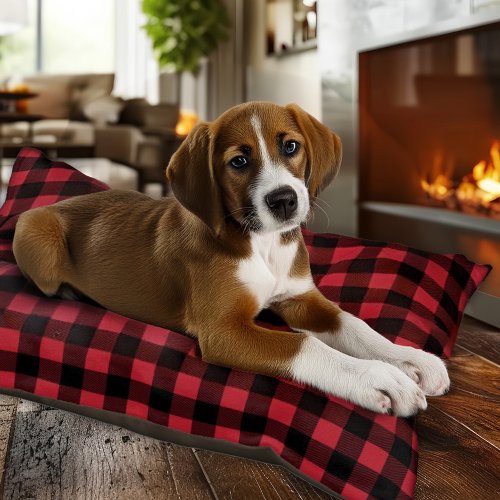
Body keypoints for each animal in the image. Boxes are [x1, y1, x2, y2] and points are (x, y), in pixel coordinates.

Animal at [12, 100, 450, 414]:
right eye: (239, 161)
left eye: (291, 146)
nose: (284, 200)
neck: (262, 244)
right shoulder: (223, 330)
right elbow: (303, 345)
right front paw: (378, 377)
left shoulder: (301, 298)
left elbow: (355, 325)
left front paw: (409, 360)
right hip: (37, 233)